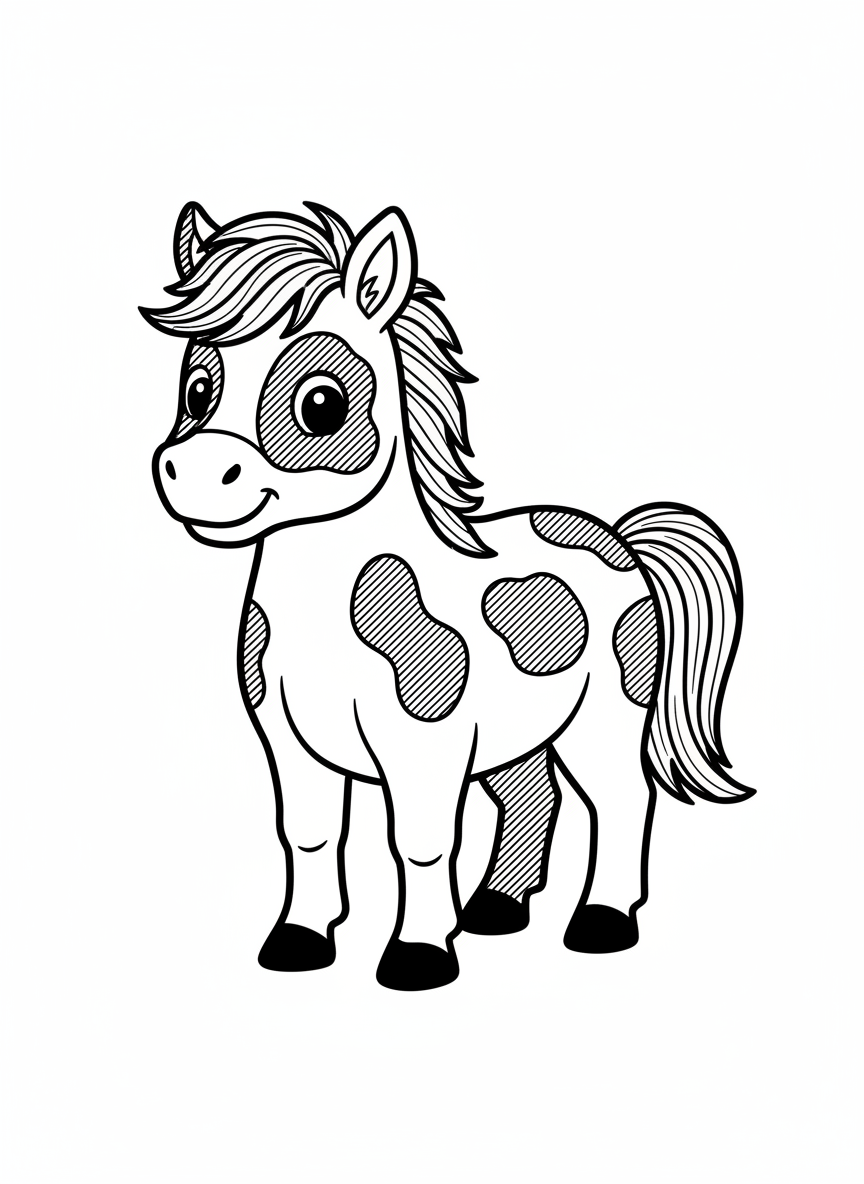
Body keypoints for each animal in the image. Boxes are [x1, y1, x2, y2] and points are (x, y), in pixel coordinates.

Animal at [141, 201, 754, 991]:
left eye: (321, 402)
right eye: (198, 388)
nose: (196, 474)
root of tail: (619, 539)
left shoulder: (424, 745)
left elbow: (421, 843)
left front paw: (420, 955)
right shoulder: (289, 741)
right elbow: (308, 837)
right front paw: (300, 940)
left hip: (603, 719)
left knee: (621, 799)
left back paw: (602, 921)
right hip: (521, 729)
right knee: (533, 795)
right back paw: (495, 908)